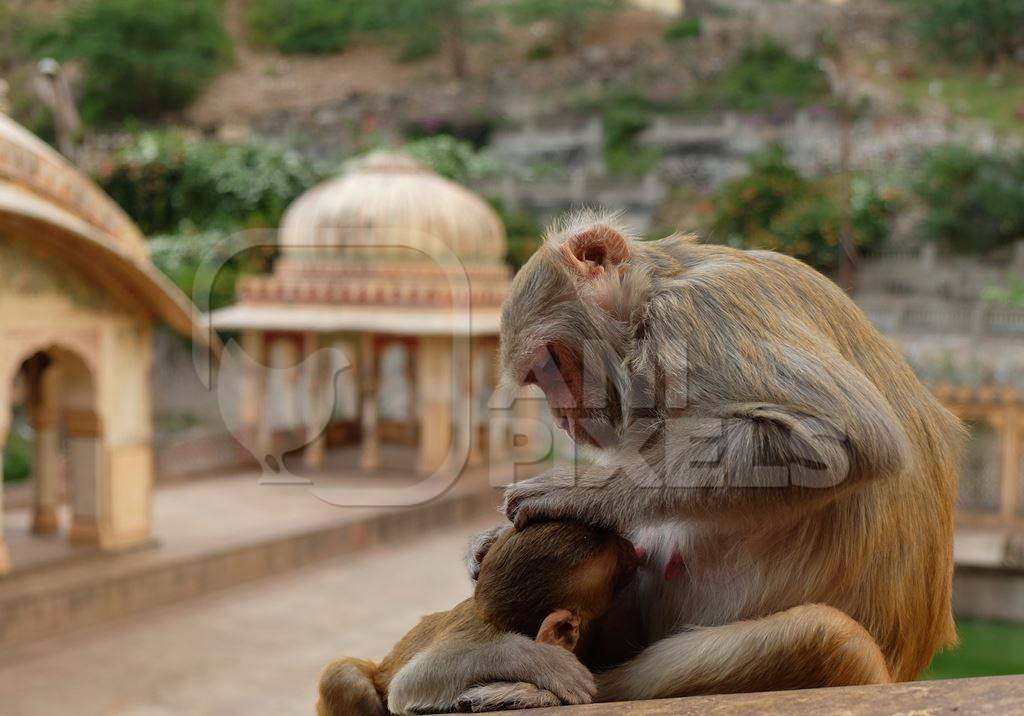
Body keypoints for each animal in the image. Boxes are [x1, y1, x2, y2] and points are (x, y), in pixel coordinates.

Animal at [460, 213, 962, 704]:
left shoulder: (700, 313)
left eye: (550, 365)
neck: (654, 300)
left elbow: (842, 437)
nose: (562, 418)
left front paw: (581, 492)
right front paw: (488, 542)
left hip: (861, 669)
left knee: (827, 636)